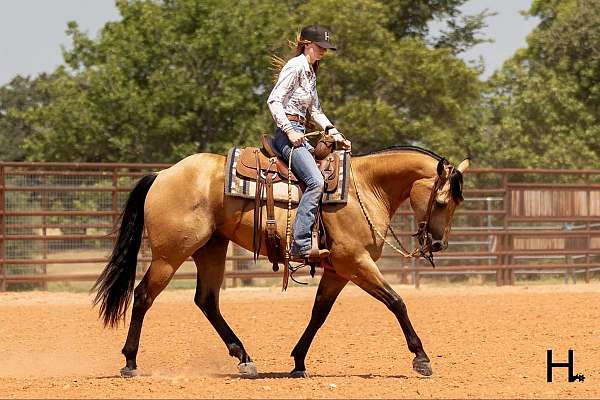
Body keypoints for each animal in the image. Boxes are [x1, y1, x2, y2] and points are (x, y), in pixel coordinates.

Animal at [92, 145, 468, 378]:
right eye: (442, 202)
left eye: (455, 203)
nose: (438, 244)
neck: (364, 187)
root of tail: (162, 174)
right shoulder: (356, 263)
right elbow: (396, 302)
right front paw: (421, 358)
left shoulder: (338, 270)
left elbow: (319, 313)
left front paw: (299, 361)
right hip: (170, 255)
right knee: (143, 296)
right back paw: (130, 362)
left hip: (211, 248)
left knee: (207, 301)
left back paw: (244, 359)